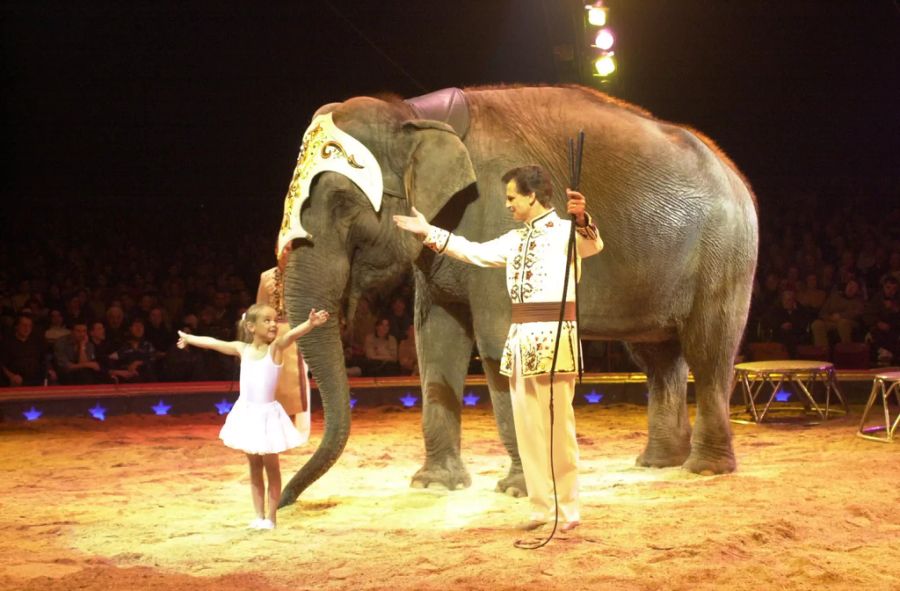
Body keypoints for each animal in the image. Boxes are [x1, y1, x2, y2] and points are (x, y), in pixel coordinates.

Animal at [274, 85, 760, 506]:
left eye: (341, 203)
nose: (284, 502)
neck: (411, 114)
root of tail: (736, 175)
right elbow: (435, 340)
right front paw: (434, 485)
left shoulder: (491, 215)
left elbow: (495, 338)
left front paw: (517, 490)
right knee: (658, 358)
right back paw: (658, 463)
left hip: (726, 256)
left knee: (708, 350)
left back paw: (704, 469)